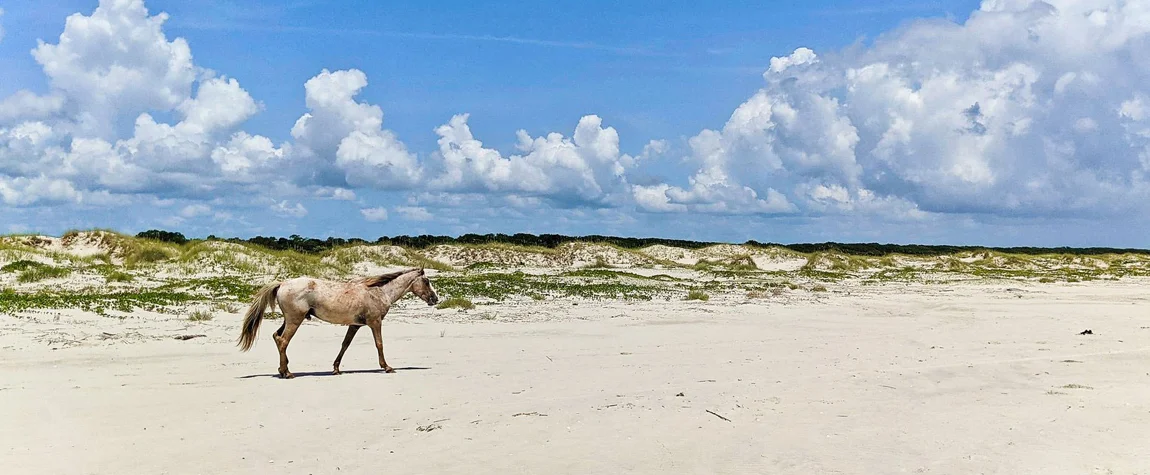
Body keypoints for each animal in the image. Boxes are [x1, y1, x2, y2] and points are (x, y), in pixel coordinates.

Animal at [235, 266, 437, 377]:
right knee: (283, 340)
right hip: (295, 320)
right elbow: (379, 344)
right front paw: (387, 367)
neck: (379, 291)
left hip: (290, 320)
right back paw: (287, 373)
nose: (435, 299)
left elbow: (345, 345)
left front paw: (336, 368)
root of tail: (283, 283)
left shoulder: (354, 325)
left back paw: (282, 369)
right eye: (427, 281)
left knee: (277, 337)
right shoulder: (375, 322)